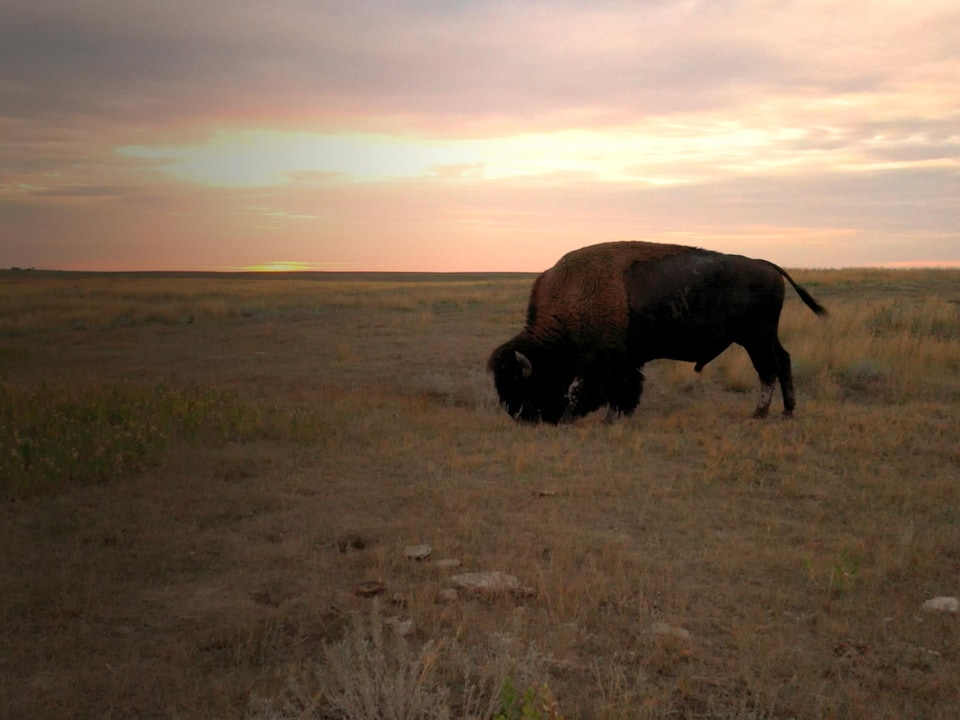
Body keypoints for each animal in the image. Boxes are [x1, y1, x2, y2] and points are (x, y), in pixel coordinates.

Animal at [488, 242, 824, 422]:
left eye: (522, 384)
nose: (523, 417)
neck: (573, 296)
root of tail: (767, 265)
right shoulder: (624, 361)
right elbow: (622, 389)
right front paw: (614, 417)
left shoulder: (605, 361)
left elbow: (595, 389)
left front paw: (602, 418)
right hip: (763, 338)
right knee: (783, 362)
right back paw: (787, 412)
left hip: (755, 339)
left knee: (768, 369)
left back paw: (759, 413)